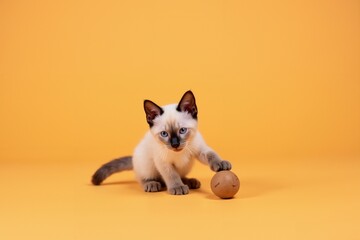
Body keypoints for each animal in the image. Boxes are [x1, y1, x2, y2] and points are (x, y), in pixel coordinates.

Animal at [91, 90, 232, 195]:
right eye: (164, 134)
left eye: (182, 130)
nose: (175, 144)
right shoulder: (163, 161)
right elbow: (172, 175)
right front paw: (177, 187)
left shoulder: (199, 148)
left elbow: (211, 154)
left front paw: (221, 164)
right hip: (146, 164)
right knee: (143, 178)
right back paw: (152, 184)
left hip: (186, 166)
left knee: (180, 174)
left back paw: (190, 182)